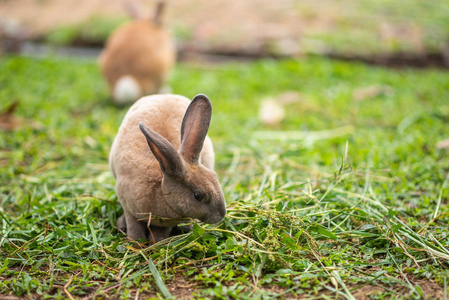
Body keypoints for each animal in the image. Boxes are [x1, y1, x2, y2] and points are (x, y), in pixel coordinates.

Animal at [109, 94, 228, 241]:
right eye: (198, 196)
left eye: (215, 177)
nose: (221, 215)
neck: (160, 187)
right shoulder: (128, 208)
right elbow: (134, 227)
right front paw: (136, 242)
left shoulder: (165, 224)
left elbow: (160, 232)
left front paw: (155, 242)